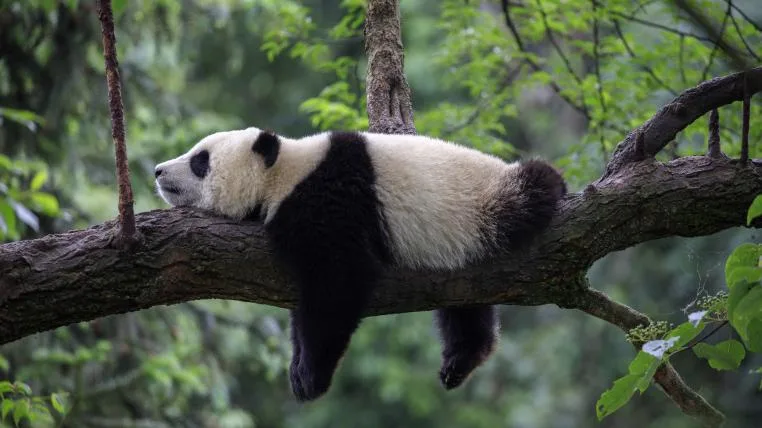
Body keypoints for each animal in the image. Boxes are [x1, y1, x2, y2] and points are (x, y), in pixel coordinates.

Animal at [154, 127, 566, 402]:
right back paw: (462, 359)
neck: (285, 172)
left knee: (532, 189)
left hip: (486, 204)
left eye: (200, 161)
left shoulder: (330, 202)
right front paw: (297, 367)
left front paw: (311, 376)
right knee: (464, 304)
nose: (158, 171)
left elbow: (338, 284)